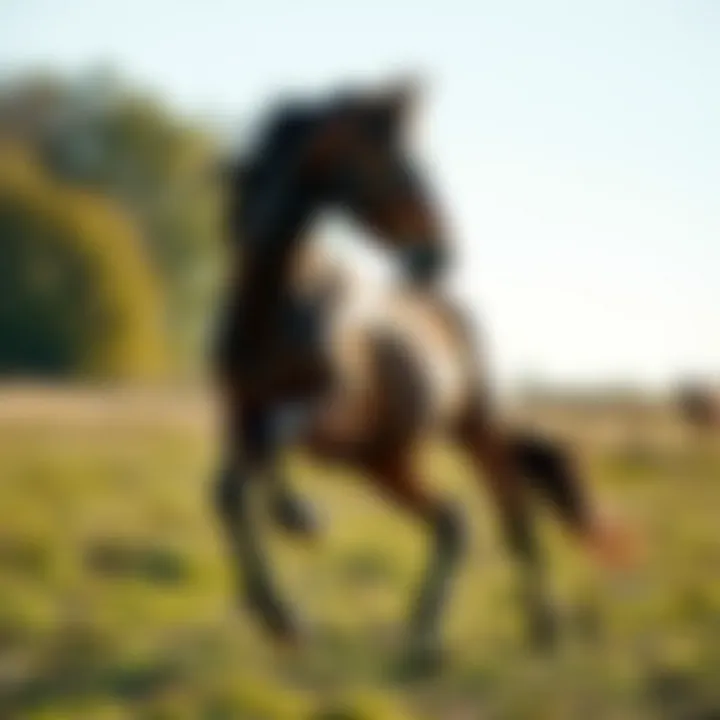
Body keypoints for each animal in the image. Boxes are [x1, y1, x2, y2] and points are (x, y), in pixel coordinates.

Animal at [211, 81, 634, 672]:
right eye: (395, 165)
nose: (438, 255)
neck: (273, 306)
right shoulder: (236, 414)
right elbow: (228, 490)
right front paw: (283, 618)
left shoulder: (327, 405)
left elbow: (269, 449)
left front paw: (301, 519)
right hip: (385, 460)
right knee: (453, 521)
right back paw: (424, 639)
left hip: (471, 429)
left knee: (512, 514)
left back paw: (543, 629)